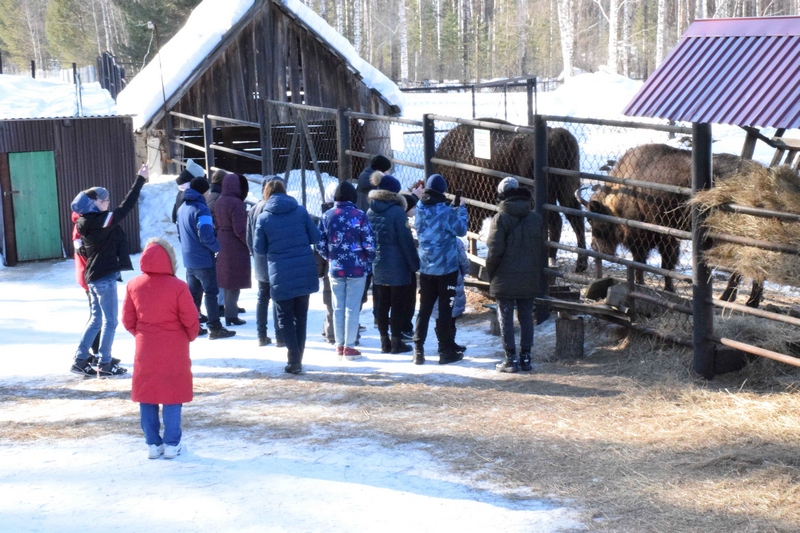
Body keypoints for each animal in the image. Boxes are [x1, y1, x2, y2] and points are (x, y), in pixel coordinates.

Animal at [432, 118, 588, 272]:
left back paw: (551, 259)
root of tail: (559, 135)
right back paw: (580, 265)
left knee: (557, 221)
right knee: (575, 218)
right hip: (568, 190)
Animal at [584, 143, 764, 306]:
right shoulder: (667, 238)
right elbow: (663, 264)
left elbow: (648, 263)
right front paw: (667, 288)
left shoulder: (648, 237)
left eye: (596, 222)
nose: (595, 247)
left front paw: (648, 285)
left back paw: (733, 299)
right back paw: (750, 301)